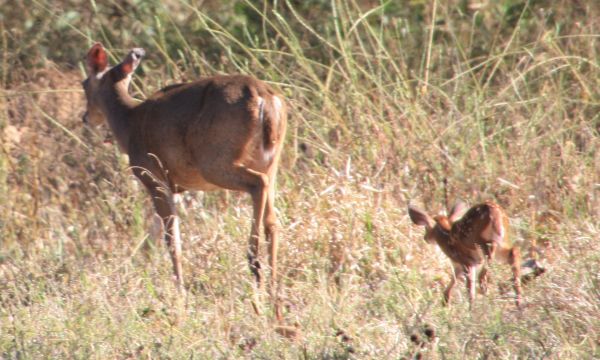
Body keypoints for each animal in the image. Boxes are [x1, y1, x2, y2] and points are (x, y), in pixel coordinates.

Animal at [83, 43, 288, 316]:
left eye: (85, 83)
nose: (85, 117)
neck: (129, 123)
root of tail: (267, 99)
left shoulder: (153, 176)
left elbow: (172, 240)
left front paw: (179, 298)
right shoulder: (177, 187)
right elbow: (155, 237)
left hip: (215, 161)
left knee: (258, 185)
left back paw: (254, 270)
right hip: (271, 161)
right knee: (273, 221)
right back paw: (275, 301)